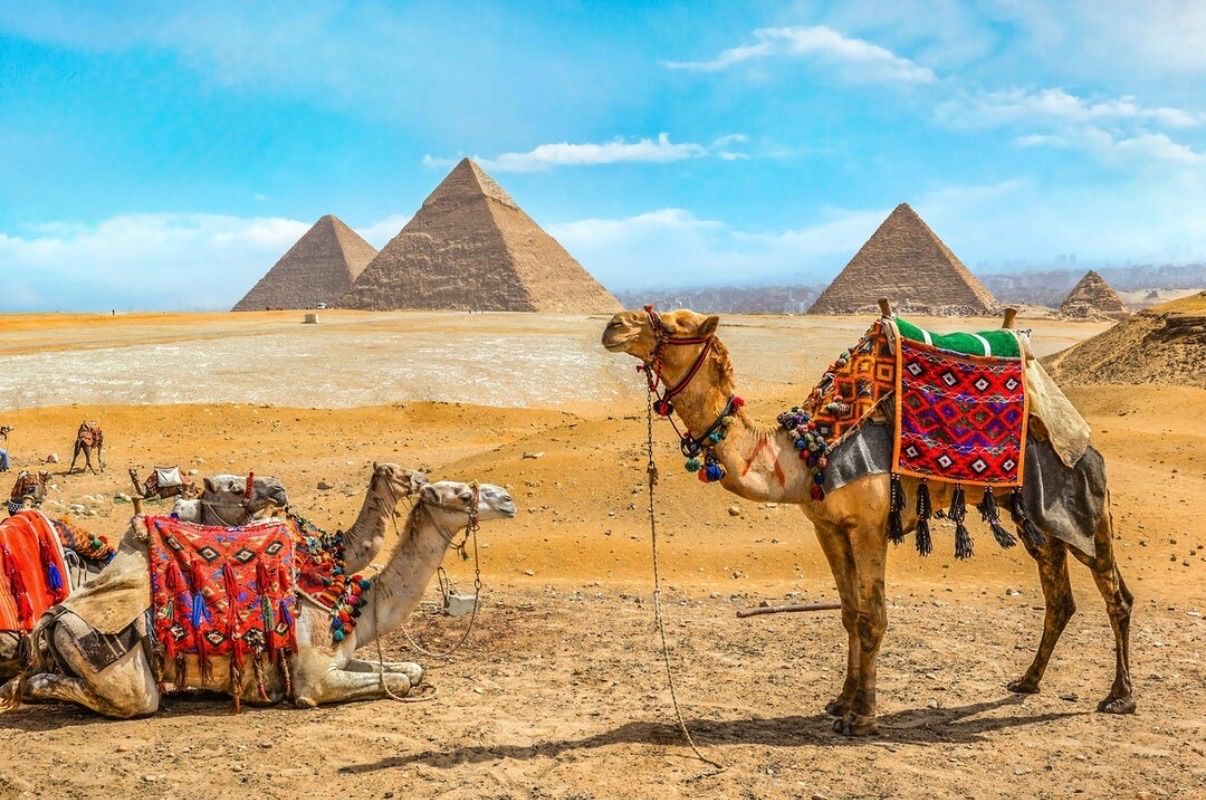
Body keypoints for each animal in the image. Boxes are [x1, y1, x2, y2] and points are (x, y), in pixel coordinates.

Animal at [0, 470, 515, 717]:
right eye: (461, 496)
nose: (508, 499)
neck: (350, 604)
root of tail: (54, 618)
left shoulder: (339, 657)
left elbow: (409, 671)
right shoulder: (314, 680)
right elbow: (393, 681)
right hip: (116, 664)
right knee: (126, 696)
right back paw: (28, 688)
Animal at [602, 307, 1133, 736]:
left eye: (676, 323)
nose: (614, 325)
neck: (806, 454)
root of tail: (1085, 438)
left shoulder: (871, 527)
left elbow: (873, 617)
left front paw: (861, 718)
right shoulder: (829, 528)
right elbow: (849, 615)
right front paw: (841, 701)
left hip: (1083, 502)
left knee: (1115, 593)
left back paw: (1119, 696)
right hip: (1035, 518)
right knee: (1059, 595)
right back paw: (1027, 681)